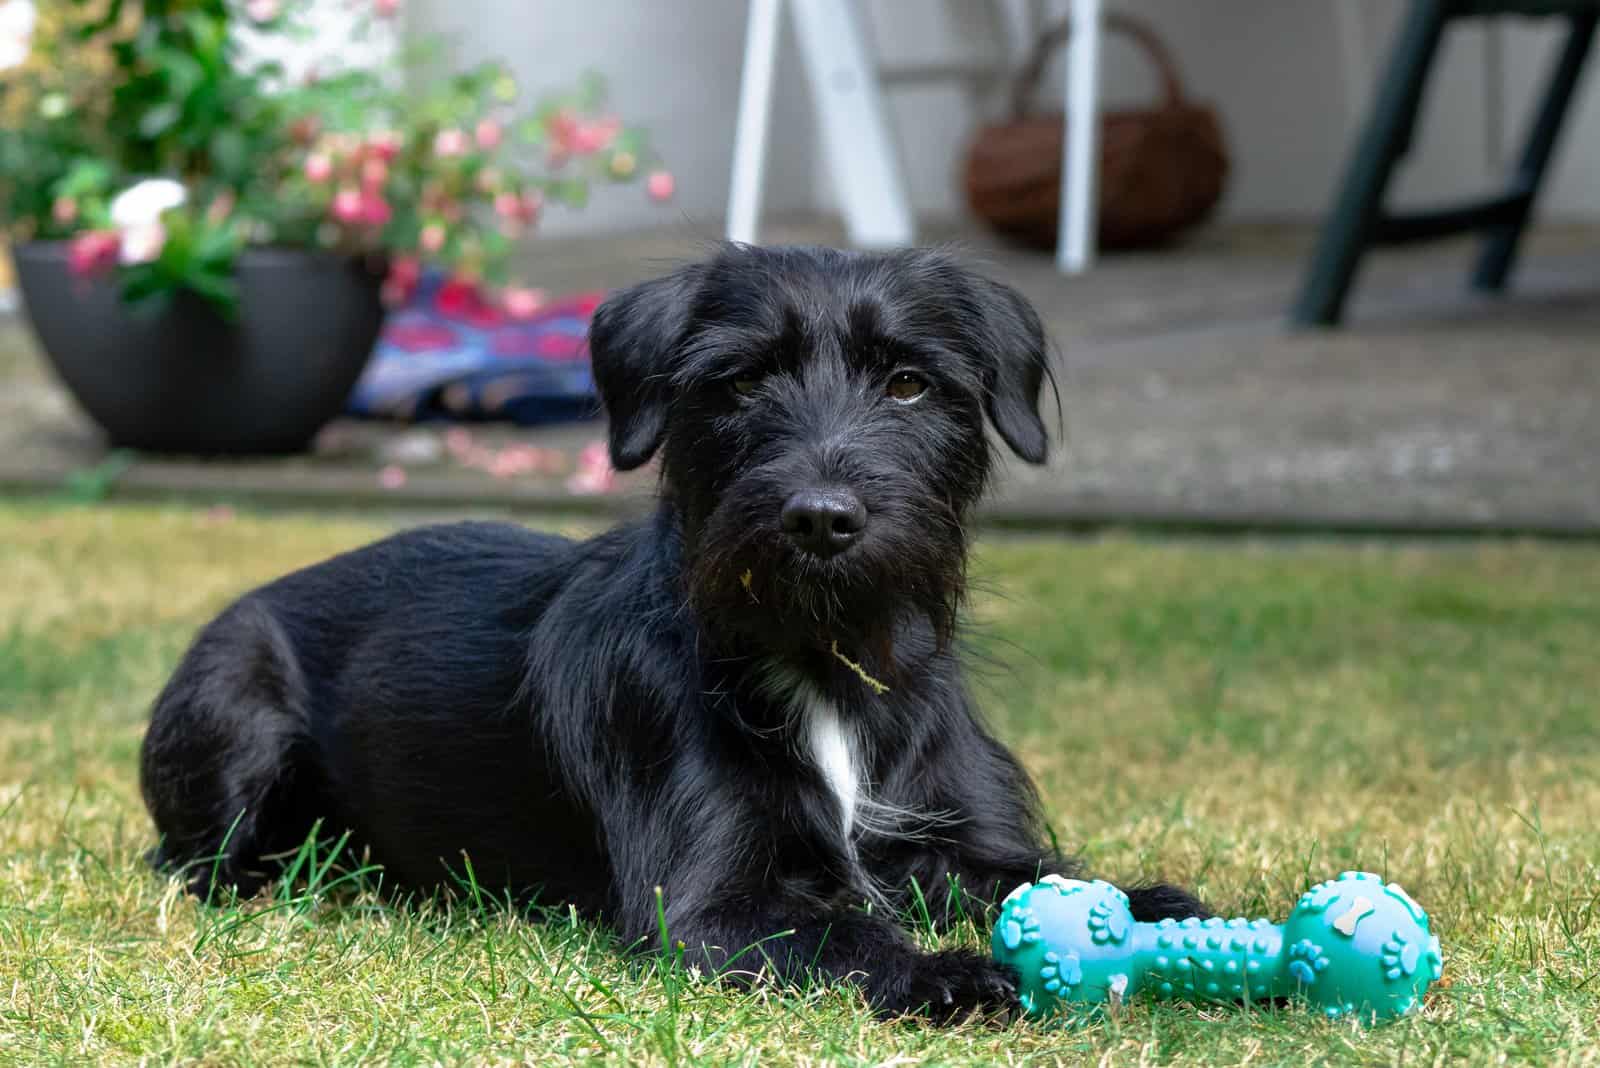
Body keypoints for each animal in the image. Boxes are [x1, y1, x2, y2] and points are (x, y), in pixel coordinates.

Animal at [144, 244, 1203, 1016]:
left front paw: (1157, 907)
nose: (822, 518)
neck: (822, 662)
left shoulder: (954, 841)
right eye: (738, 384)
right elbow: (844, 932)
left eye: (908, 382)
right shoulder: (712, 908)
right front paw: (944, 971)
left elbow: (1033, 872)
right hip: (234, 731)